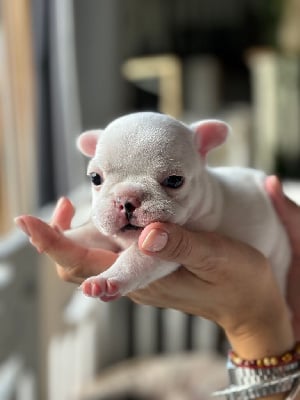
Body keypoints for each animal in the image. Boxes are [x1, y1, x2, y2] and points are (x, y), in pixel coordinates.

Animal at [76, 111, 292, 300]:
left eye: (174, 180)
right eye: (95, 178)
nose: (126, 199)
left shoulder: (160, 248)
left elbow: (136, 260)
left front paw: (107, 279)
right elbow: (88, 234)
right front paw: (68, 235)